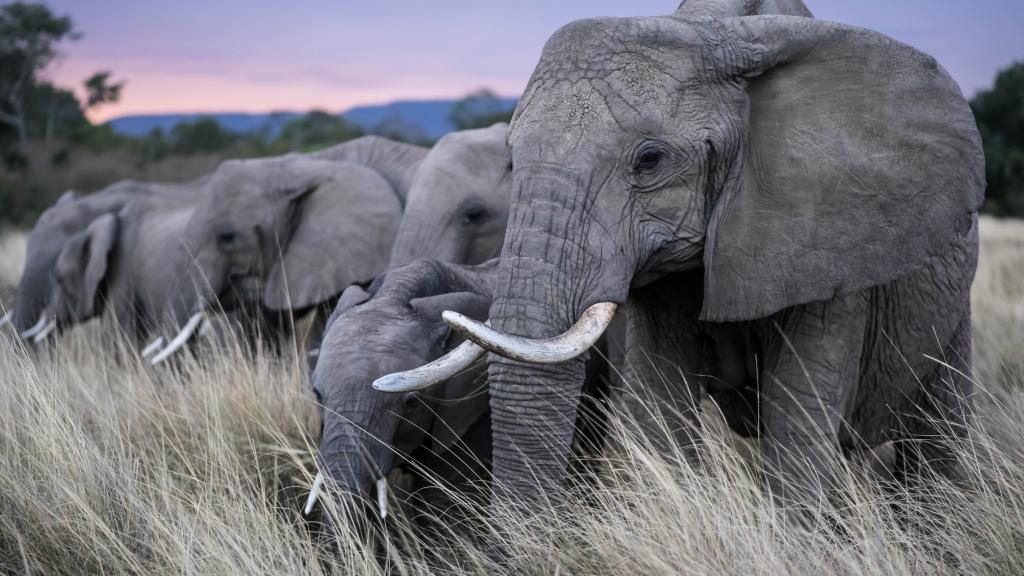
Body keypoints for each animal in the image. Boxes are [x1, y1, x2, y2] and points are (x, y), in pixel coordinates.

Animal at [374, 0, 985, 522]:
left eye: (650, 160)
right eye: (510, 158)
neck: (720, 32)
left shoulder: (828, 232)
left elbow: (798, 416)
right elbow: (662, 406)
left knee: (937, 435)